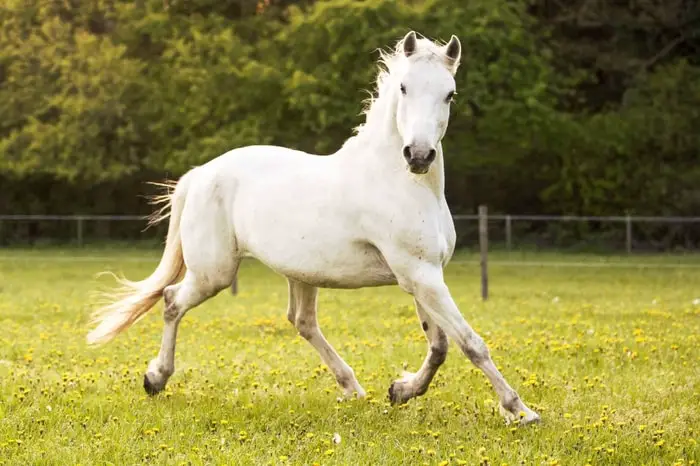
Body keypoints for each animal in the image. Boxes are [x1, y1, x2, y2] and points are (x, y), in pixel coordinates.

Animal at [87, 31, 540, 426]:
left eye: (450, 93)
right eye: (405, 88)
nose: (419, 155)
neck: (401, 183)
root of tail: (200, 173)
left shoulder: (423, 276)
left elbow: (440, 345)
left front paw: (400, 390)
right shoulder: (420, 274)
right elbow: (470, 344)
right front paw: (520, 411)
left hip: (299, 273)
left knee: (301, 321)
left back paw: (352, 388)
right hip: (214, 273)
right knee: (171, 300)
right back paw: (155, 378)